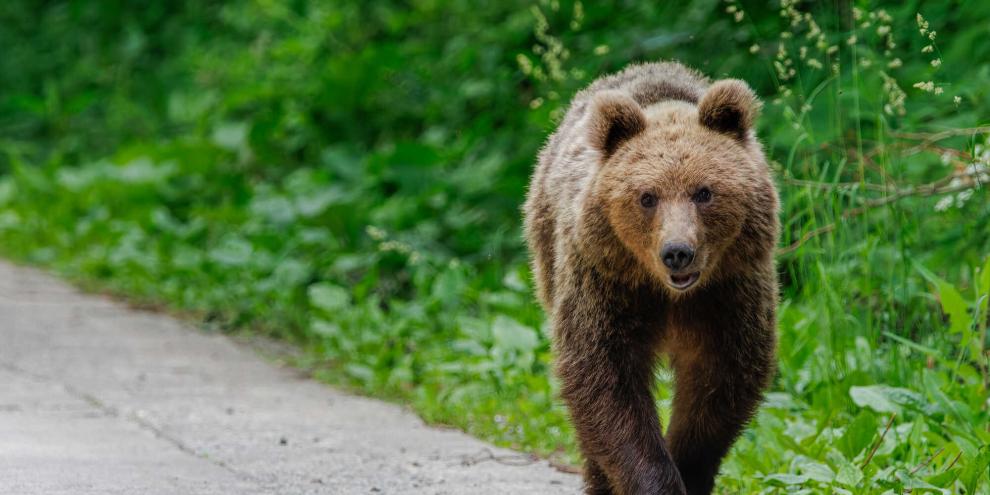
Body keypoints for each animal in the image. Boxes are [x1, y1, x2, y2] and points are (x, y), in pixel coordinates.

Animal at [528, 63, 784, 495]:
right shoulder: (606, 283)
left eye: (704, 192)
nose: (678, 251)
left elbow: (721, 380)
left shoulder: (729, 291)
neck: (668, 294)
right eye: (647, 196)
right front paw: (656, 480)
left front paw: (690, 468)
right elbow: (605, 380)